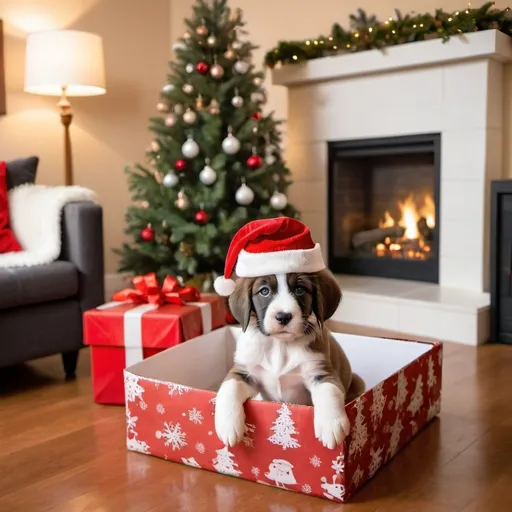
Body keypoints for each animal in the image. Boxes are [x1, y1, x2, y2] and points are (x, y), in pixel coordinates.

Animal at [214, 270, 366, 450]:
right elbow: (229, 388)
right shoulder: (243, 371)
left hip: (357, 381)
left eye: (300, 289)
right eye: (264, 291)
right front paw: (227, 424)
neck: (280, 345)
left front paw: (331, 424)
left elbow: (330, 392)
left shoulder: (321, 372)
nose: (283, 316)